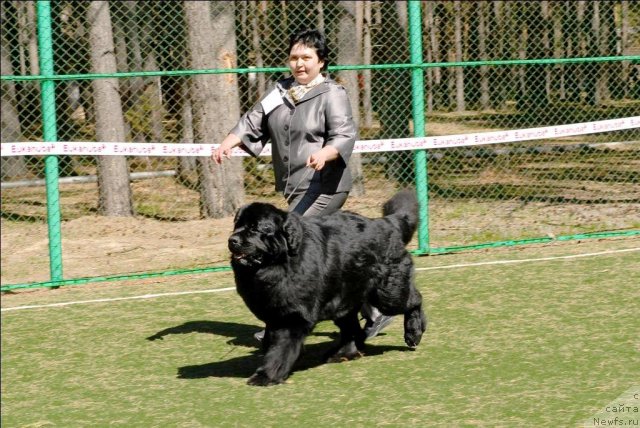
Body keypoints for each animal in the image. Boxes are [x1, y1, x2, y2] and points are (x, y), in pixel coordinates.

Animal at [228, 192, 428, 386]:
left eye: (255, 229)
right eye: (237, 226)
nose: (232, 240)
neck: (279, 263)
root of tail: (387, 222)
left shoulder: (291, 317)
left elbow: (279, 348)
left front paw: (266, 375)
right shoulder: (273, 313)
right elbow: (270, 340)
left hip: (387, 293)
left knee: (414, 300)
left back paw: (414, 332)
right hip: (343, 299)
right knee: (351, 329)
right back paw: (342, 353)